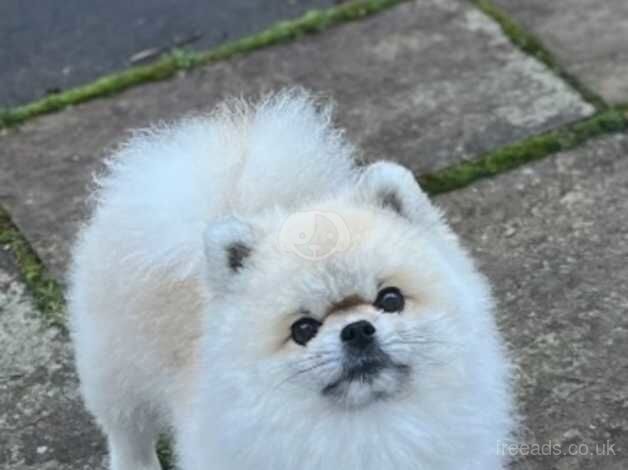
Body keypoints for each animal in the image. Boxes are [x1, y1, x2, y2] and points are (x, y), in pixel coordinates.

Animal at [66, 89, 512, 470]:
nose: (357, 330)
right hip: (116, 369)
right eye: (303, 329)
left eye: (390, 300)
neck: (369, 430)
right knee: (127, 431)